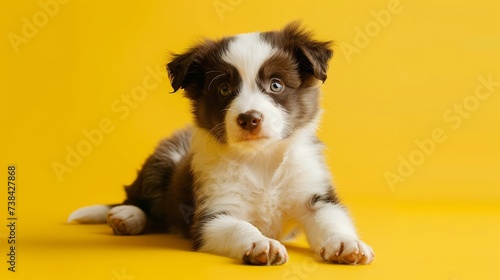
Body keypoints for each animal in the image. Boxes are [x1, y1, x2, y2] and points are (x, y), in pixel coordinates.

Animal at [69, 21, 376, 264]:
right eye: (225, 89)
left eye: (276, 85)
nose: (249, 119)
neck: (260, 160)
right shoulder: (213, 213)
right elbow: (239, 227)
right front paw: (260, 243)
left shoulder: (314, 194)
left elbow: (331, 219)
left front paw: (345, 243)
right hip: (162, 159)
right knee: (139, 199)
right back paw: (127, 215)